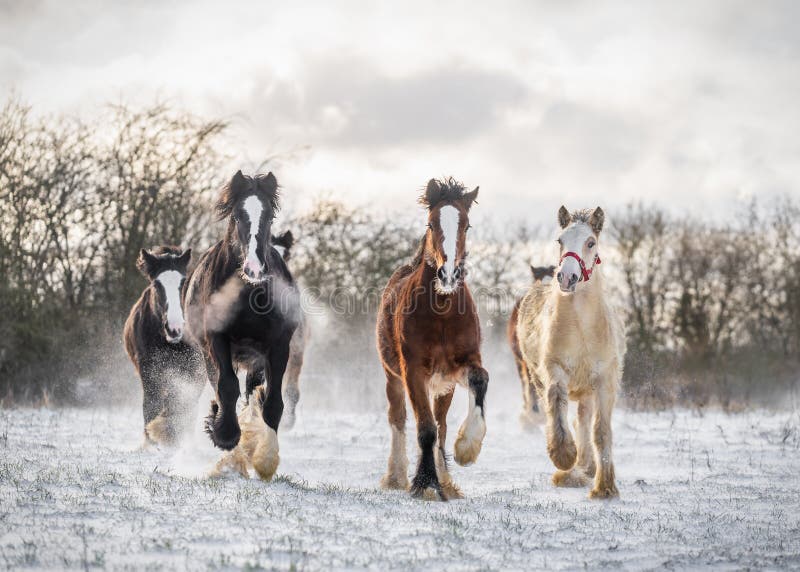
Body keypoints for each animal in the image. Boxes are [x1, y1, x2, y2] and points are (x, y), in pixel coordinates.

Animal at [123, 246, 203, 446]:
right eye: (156, 285)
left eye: (183, 282)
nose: (174, 328)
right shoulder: (149, 370)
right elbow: (152, 404)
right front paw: (152, 441)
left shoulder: (194, 370)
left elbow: (182, 405)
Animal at [184, 171, 300, 482]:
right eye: (237, 215)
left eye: (269, 216)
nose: (255, 269)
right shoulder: (216, 340)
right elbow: (226, 388)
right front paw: (225, 435)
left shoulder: (278, 346)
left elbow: (272, 403)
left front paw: (266, 459)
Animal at [376, 175, 488, 500]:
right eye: (431, 223)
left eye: (466, 225)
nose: (448, 275)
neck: (442, 311)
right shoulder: (412, 370)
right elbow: (424, 429)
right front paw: (425, 484)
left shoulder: (461, 365)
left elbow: (481, 380)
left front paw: (467, 448)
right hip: (393, 378)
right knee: (398, 418)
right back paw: (396, 476)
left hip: (443, 387)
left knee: (442, 425)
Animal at [520, 207, 624, 500]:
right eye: (560, 241)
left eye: (590, 242)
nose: (567, 277)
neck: (581, 327)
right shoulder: (555, 370)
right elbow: (556, 406)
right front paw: (564, 457)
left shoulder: (604, 380)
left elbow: (600, 431)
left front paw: (605, 487)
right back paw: (571, 470)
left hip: (587, 389)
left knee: (584, 421)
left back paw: (588, 467)